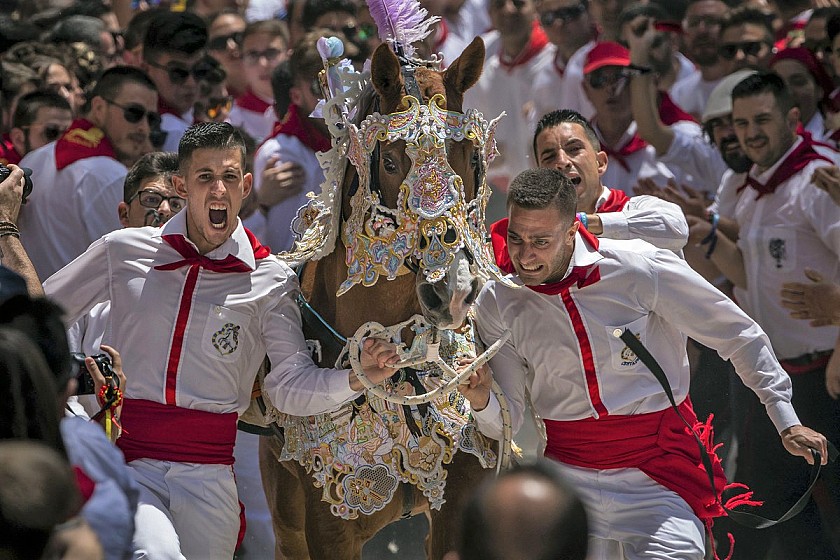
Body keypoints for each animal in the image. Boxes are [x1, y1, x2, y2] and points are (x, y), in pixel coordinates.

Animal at [260, 38, 502, 560]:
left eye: (471, 159)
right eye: (390, 162)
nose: (451, 290)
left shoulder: (458, 504)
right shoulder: (328, 527)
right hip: (286, 515)